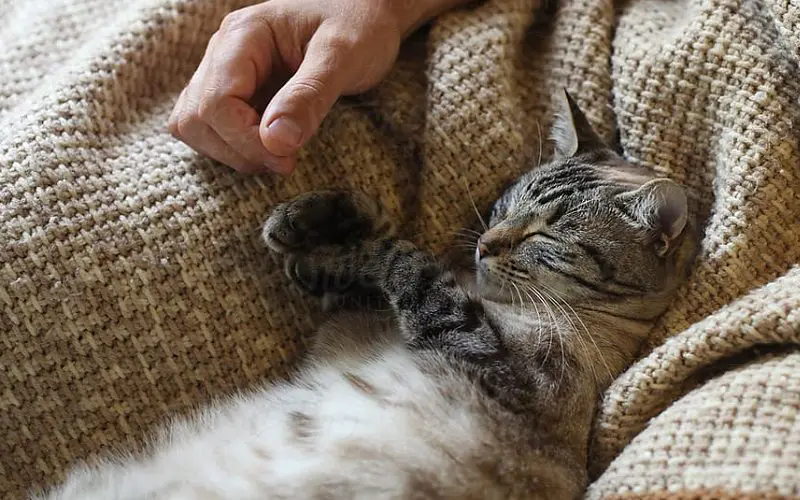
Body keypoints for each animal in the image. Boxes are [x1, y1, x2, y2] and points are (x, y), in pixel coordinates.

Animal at [37, 91, 696, 500]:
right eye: (508, 205)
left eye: (546, 237)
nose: (485, 245)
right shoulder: (346, 331)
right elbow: (363, 238)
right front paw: (305, 222)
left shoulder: (470, 341)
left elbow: (394, 253)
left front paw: (314, 244)